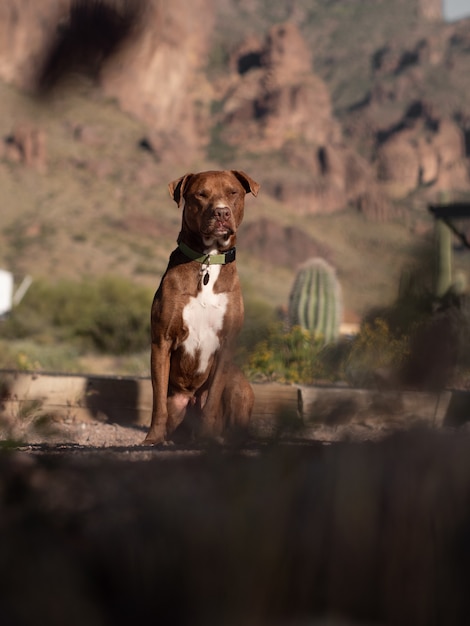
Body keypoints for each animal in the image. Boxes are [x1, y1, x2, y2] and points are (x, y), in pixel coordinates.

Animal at [145, 171, 258, 444]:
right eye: (201, 194)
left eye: (232, 192)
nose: (221, 212)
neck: (208, 259)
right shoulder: (161, 341)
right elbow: (158, 403)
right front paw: (153, 438)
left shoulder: (227, 344)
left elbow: (213, 401)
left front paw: (205, 437)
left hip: (239, 386)